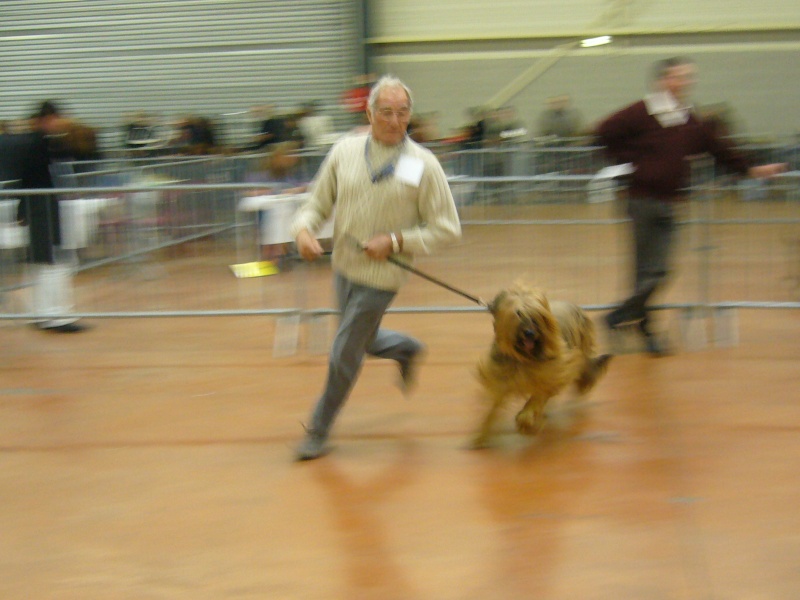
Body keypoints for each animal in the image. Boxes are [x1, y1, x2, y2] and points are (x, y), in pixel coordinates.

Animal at [468, 284, 612, 448]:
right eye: (518, 313)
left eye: (537, 316)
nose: (530, 333)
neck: (524, 357)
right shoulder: (503, 377)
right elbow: (493, 409)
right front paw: (482, 435)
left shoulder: (550, 373)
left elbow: (538, 397)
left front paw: (525, 420)